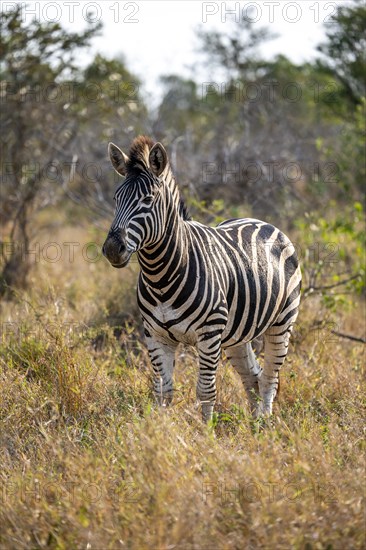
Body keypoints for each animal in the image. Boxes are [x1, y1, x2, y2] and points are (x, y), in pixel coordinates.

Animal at [102, 137, 300, 422]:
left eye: (148, 199)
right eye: (116, 198)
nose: (111, 249)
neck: (160, 276)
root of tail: (260, 221)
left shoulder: (209, 333)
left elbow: (206, 391)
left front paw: (205, 431)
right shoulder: (155, 335)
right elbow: (163, 391)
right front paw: (160, 429)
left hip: (282, 322)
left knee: (270, 378)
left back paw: (265, 423)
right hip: (237, 334)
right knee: (253, 376)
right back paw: (254, 425)